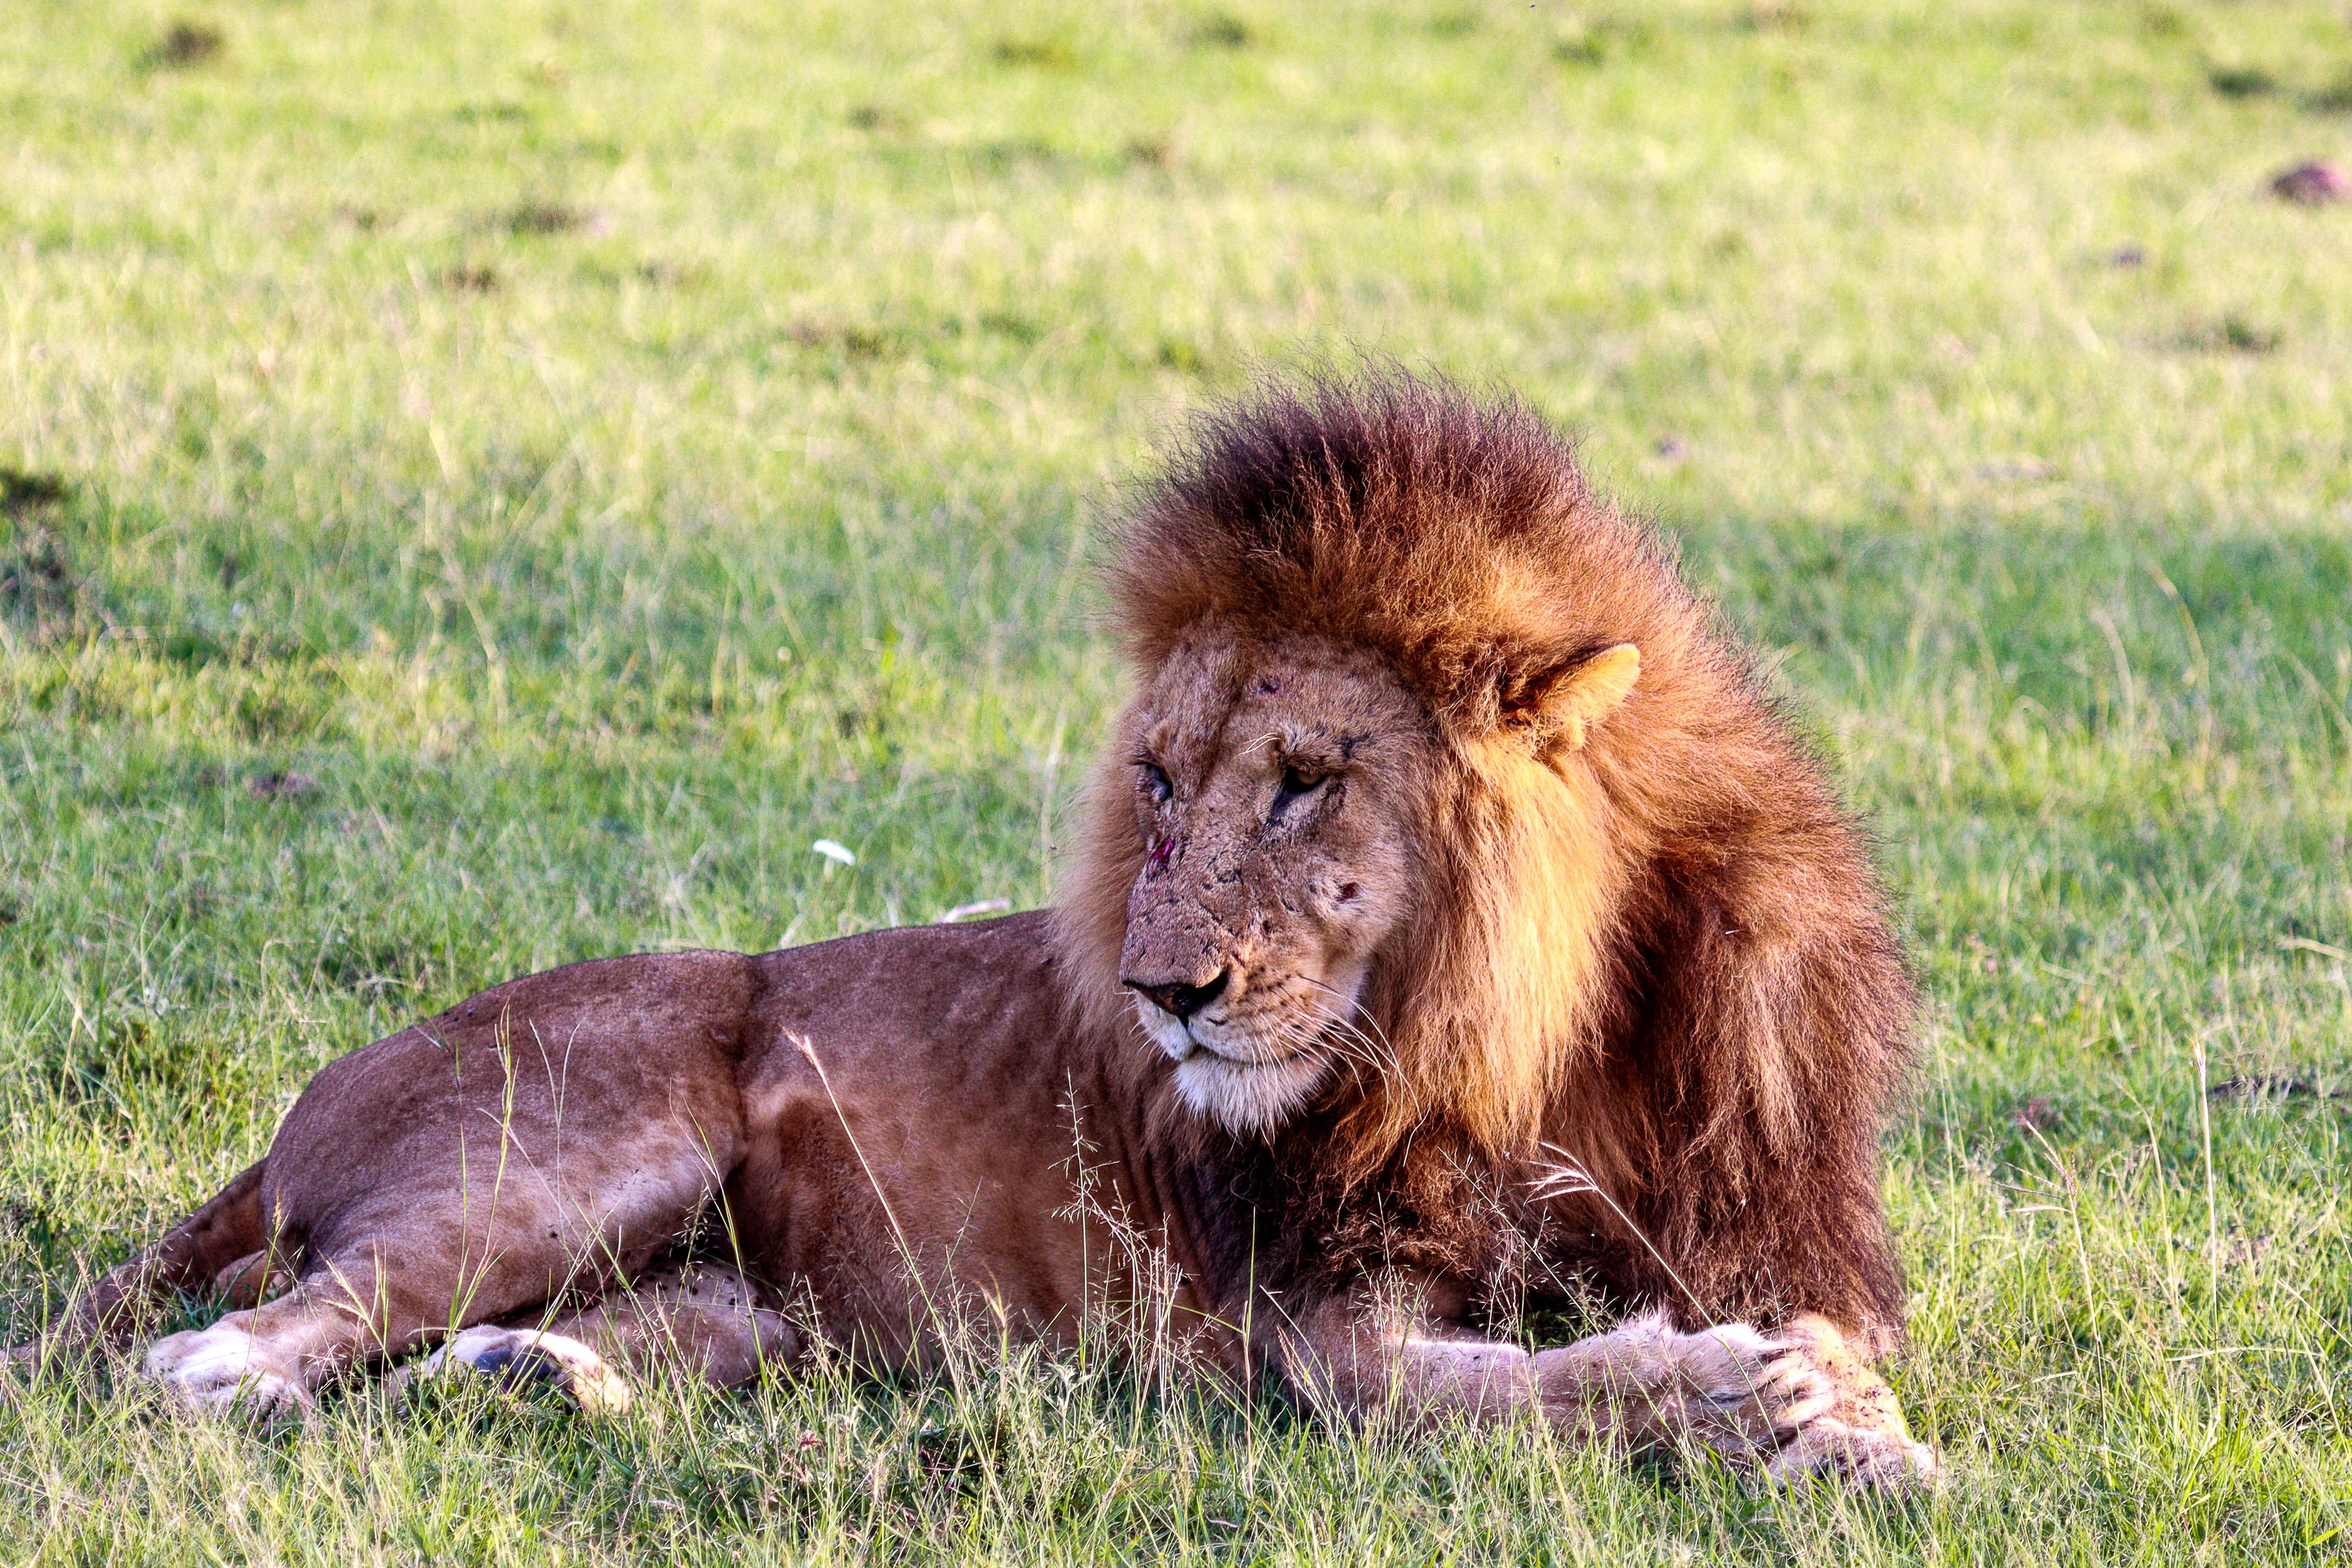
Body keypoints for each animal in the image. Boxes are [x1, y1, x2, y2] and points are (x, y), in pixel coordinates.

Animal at [12, 375, 1932, 1488]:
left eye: (1306, 782)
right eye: (1158, 782)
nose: (1162, 993)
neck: (1522, 1044)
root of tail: (296, 1114)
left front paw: (1851, 1431)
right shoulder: (1303, 1337)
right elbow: (1508, 1390)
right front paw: (1754, 1399)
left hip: (743, 1304)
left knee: (516, 1354)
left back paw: (534, 1380)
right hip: (579, 1137)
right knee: (227, 1345)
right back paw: (270, 1394)